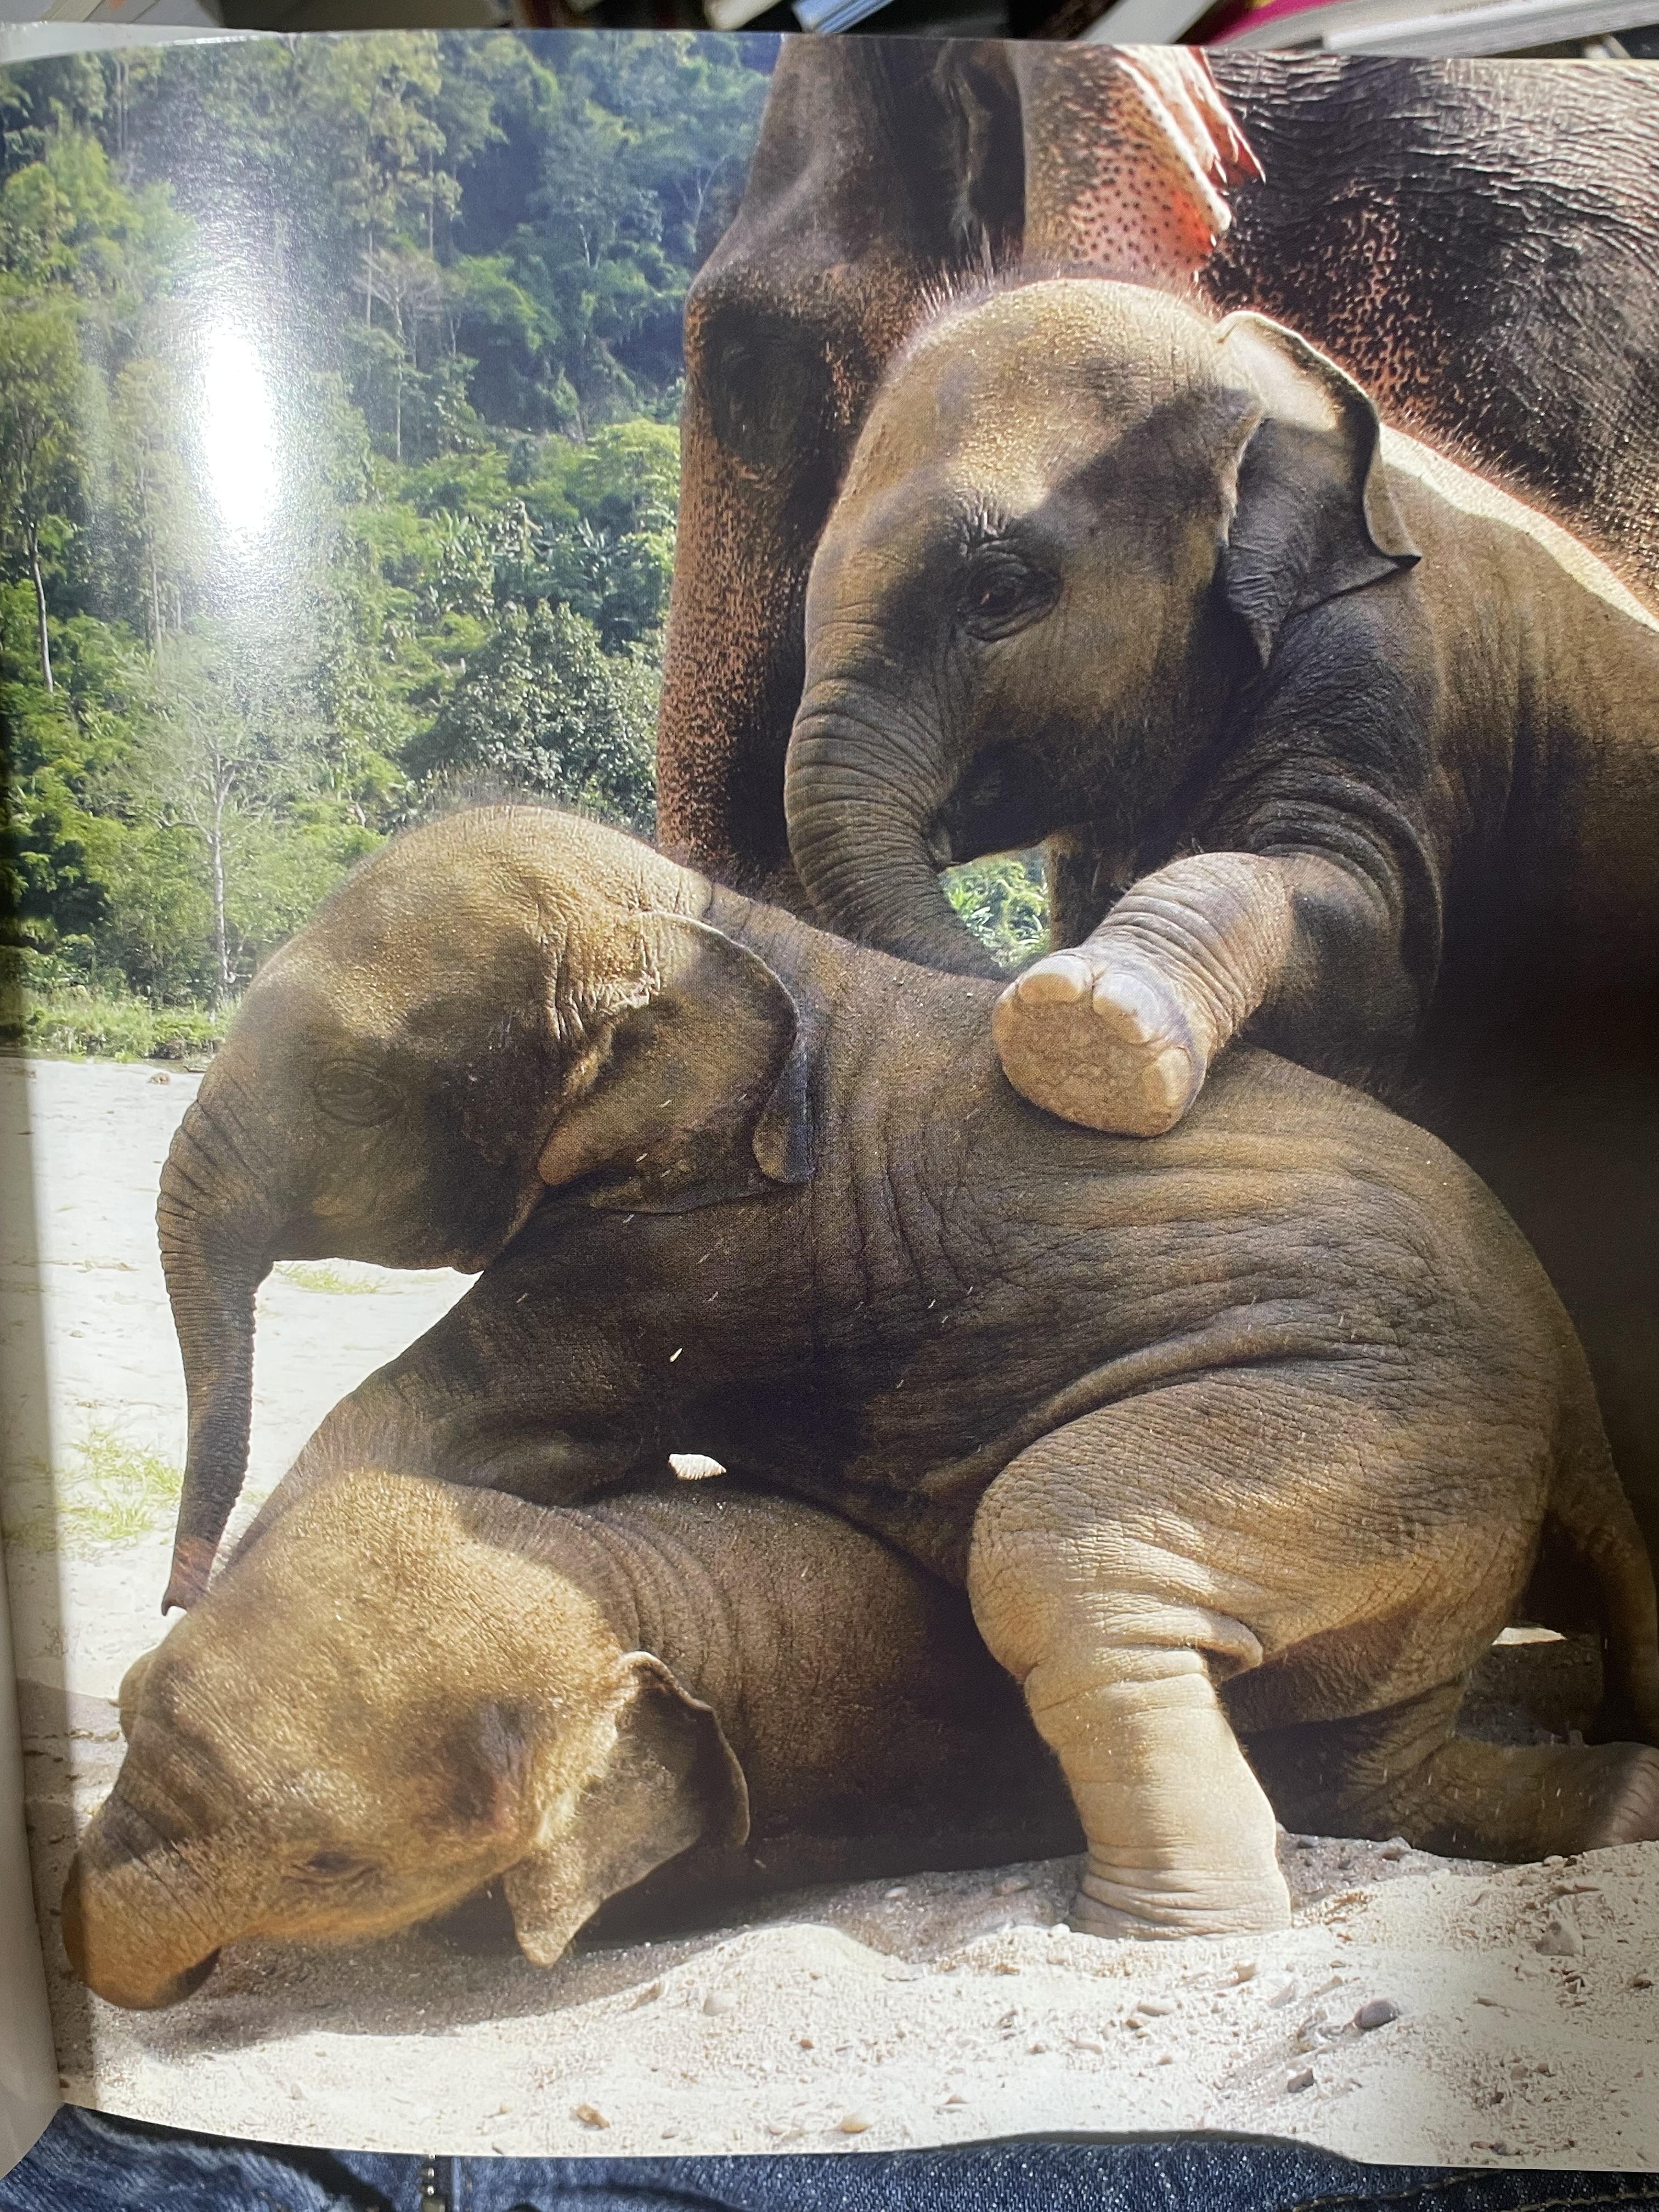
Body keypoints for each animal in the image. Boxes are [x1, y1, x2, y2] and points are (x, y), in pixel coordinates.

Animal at [154, 806, 1659, 1940]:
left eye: (350, 1097)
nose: (169, 1596)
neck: (703, 918)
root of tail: (1569, 1387)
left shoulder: (680, 1253)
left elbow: (428, 1428)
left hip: (1383, 1432)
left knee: (1062, 1546)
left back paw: (1161, 1927)